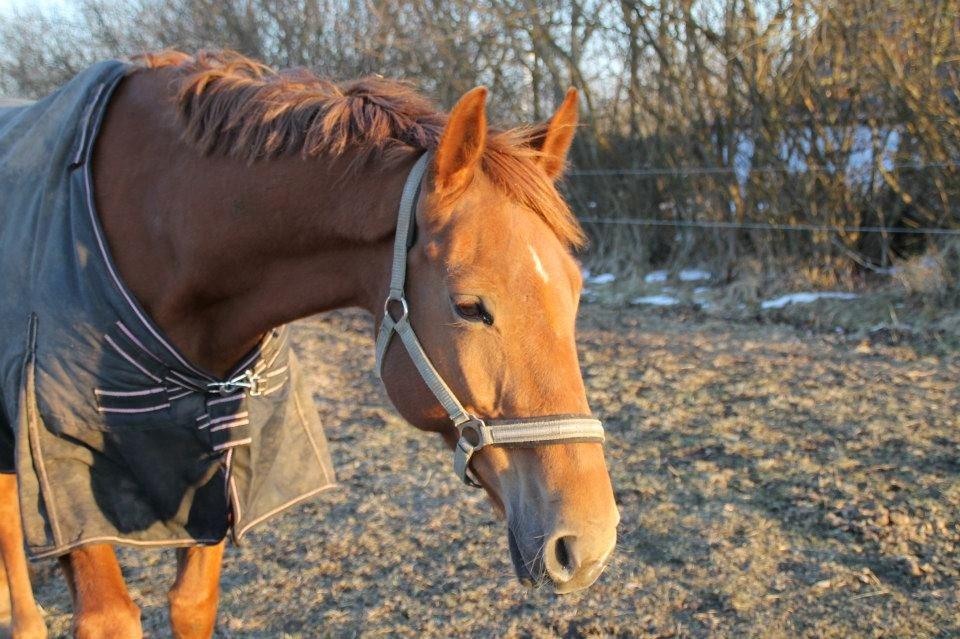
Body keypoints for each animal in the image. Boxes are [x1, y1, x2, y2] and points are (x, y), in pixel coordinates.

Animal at [0, 51, 620, 639]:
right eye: (470, 307)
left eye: (575, 292)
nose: (588, 545)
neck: (161, 226)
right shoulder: (68, 497)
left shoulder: (212, 480)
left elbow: (191, 605)